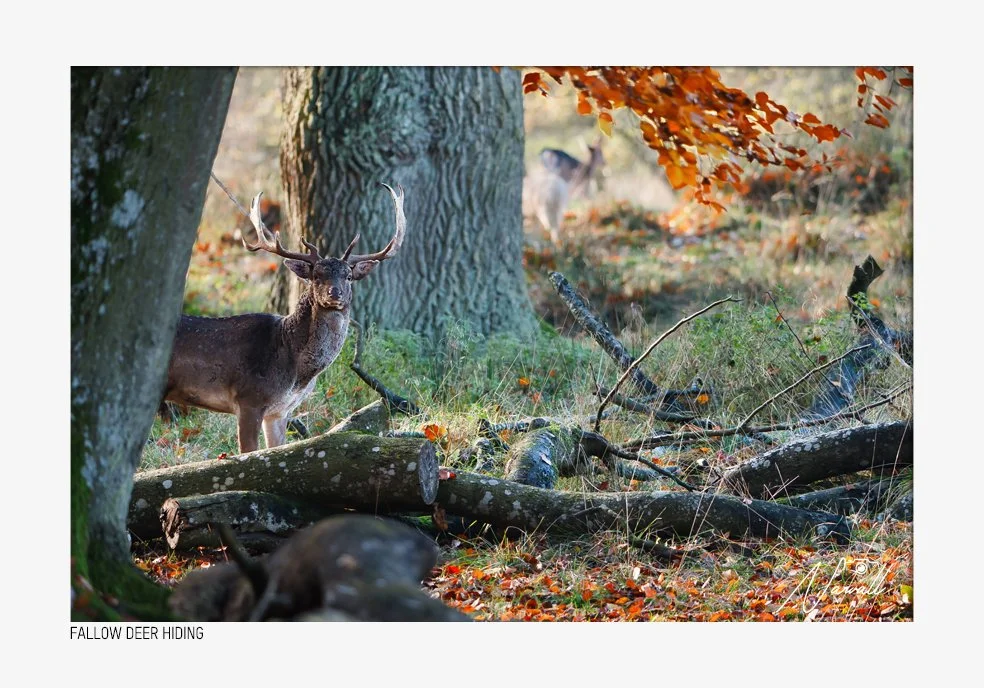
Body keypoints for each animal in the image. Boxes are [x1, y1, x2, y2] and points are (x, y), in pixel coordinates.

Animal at [162, 180, 406, 454]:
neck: (293, 366)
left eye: (349, 276)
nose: (335, 292)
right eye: (316, 275)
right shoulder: (249, 398)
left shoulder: (279, 411)